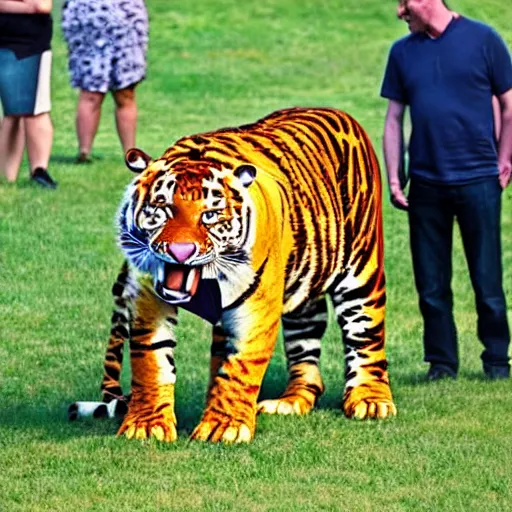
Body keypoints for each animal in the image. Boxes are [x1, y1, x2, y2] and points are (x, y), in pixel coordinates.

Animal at [68, 106, 396, 442]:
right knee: (305, 343)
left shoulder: (256, 307)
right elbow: (152, 359)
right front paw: (147, 425)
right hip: (301, 295)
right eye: (163, 208)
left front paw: (223, 426)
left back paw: (370, 400)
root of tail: (334, 111)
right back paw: (290, 401)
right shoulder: (148, 297)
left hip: (361, 270)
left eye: (210, 215)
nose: (180, 252)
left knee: (365, 335)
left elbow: (241, 364)